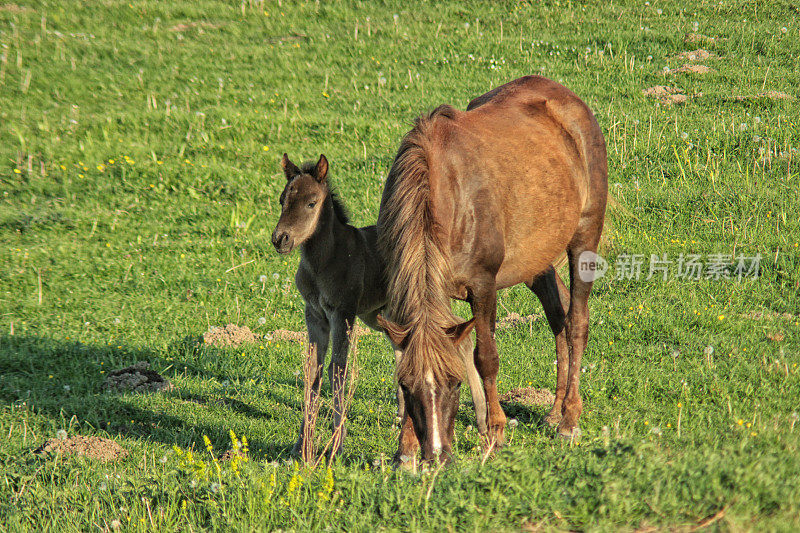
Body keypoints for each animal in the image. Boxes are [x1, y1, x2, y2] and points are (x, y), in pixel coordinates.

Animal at [270, 154, 488, 458]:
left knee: (459, 337)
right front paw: (301, 445)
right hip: (385, 312)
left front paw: (337, 444)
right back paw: (404, 413)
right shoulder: (313, 314)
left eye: (311, 202)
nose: (281, 239)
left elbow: (338, 370)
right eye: (282, 200)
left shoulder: (343, 312)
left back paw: (481, 420)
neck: (323, 262)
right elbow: (312, 370)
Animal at [376, 76, 608, 462]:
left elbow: (485, 357)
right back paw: (554, 410)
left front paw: (495, 432)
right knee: (557, 315)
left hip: (584, 237)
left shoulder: (482, 286)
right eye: (406, 386)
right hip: (535, 258)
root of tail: (570, 101)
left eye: (454, 384)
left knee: (576, 321)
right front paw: (406, 449)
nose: (437, 454)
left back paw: (569, 419)